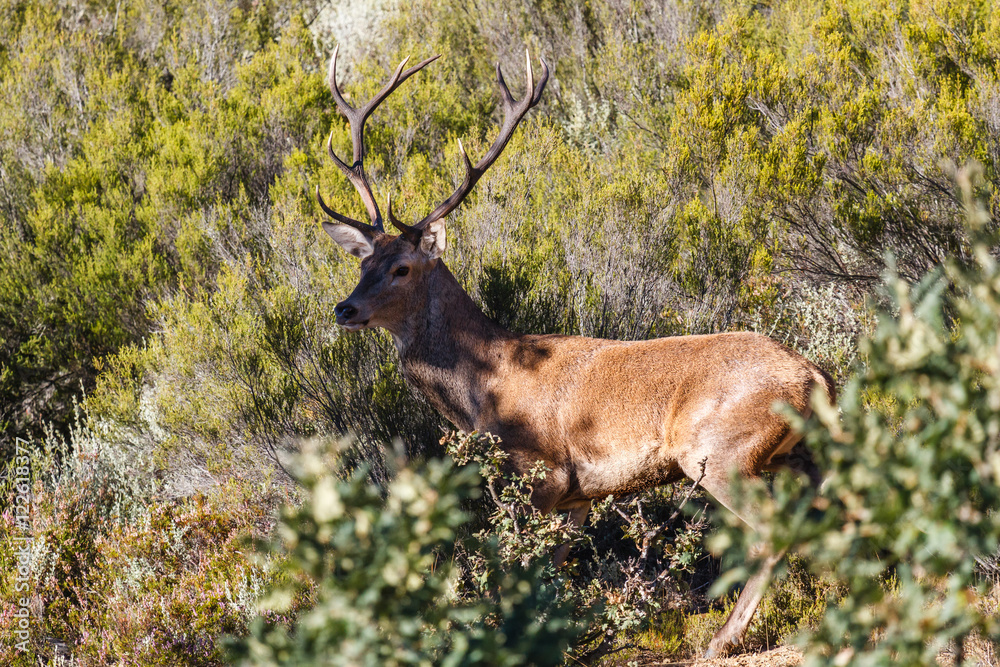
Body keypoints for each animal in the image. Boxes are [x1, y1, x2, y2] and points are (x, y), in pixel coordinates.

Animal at [315, 46, 835, 658]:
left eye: (400, 267)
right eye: (363, 263)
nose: (344, 309)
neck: (483, 388)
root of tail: (815, 378)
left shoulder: (539, 472)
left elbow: (518, 578)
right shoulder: (577, 498)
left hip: (721, 451)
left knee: (773, 533)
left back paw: (722, 640)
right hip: (803, 454)